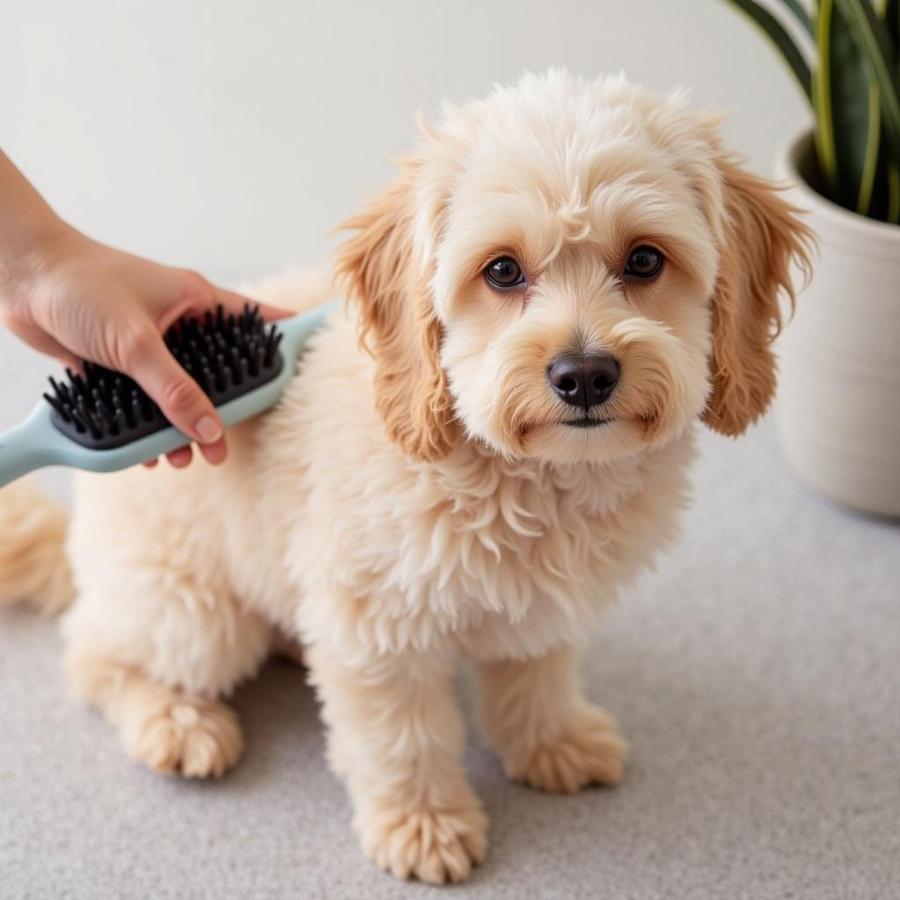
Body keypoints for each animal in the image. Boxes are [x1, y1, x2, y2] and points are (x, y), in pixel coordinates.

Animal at [0, 72, 816, 884]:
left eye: (645, 261)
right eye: (502, 270)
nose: (583, 375)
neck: (522, 477)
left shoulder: (542, 608)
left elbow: (537, 675)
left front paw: (550, 742)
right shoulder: (378, 632)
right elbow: (403, 738)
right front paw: (424, 823)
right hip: (195, 616)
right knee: (93, 653)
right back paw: (176, 720)